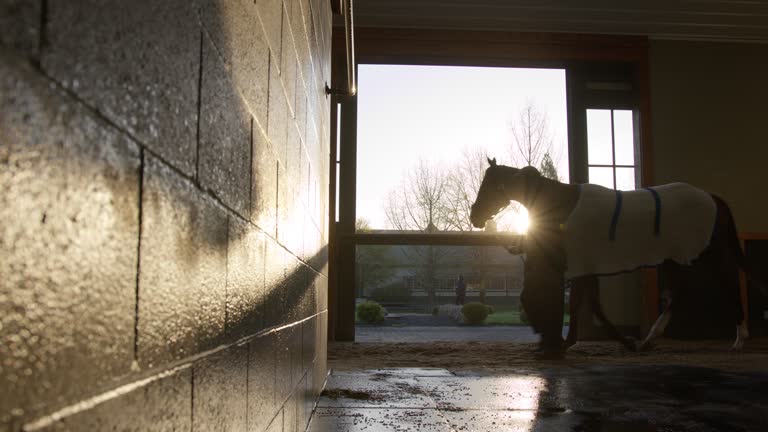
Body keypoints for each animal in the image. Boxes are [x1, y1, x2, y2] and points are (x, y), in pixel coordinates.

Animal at [468, 157, 752, 356]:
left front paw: (566, 344)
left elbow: (582, 305)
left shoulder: (582, 264)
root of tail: (712, 198)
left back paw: (739, 339)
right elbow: (592, 305)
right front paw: (616, 342)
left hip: (706, 255)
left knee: (728, 285)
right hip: (674, 259)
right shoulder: (587, 266)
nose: (474, 216)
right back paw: (648, 340)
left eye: (490, 186)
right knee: (677, 295)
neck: (563, 205)